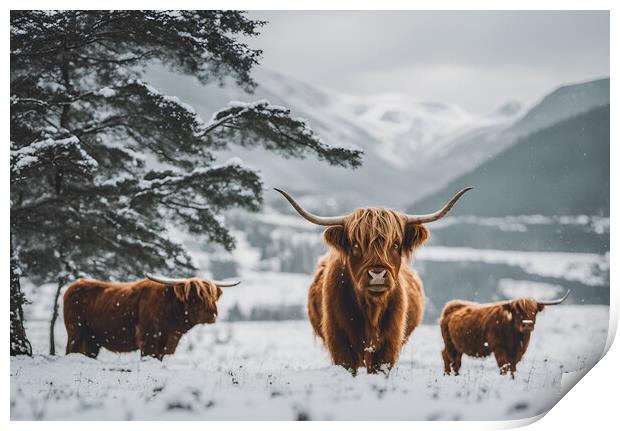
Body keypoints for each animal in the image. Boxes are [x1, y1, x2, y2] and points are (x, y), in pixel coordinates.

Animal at [63, 276, 237, 360]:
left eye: (212, 297)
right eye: (195, 296)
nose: (212, 314)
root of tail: (74, 285)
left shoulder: (166, 343)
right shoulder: (149, 339)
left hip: (92, 340)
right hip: (75, 333)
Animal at [274, 186, 472, 374]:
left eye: (395, 244)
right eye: (355, 245)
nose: (377, 275)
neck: (371, 310)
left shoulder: (388, 347)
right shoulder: (340, 346)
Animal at [440, 290, 572, 378]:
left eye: (534, 312)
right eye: (517, 312)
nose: (527, 324)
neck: (515, 336)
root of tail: (450, 306)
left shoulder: (518, 351)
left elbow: (512, 367)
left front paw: (512, 378)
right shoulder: (498, 347)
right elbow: (504, 366)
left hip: (458, 346)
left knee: (454, 359)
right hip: (449, 342)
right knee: (448, 356)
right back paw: (448, 374)